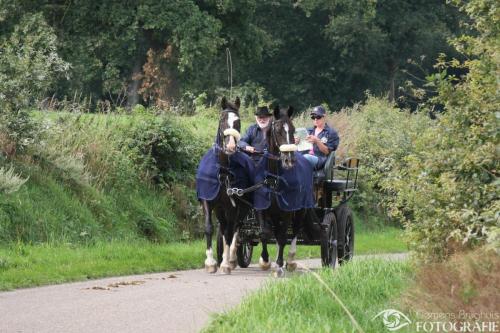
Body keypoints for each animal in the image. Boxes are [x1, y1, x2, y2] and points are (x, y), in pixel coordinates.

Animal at [194, 95, 252, 272]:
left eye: (238, 121)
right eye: (222, 120)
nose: (231, 146)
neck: (222, 170)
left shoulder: (232, 206)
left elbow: (229, 232)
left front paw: (225, 263)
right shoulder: (208, 201)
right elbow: (209, 228)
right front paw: (211, 262)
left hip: (242, 207)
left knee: (236, 228)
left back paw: (231, 258)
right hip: (220, 209)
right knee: (226, 227)